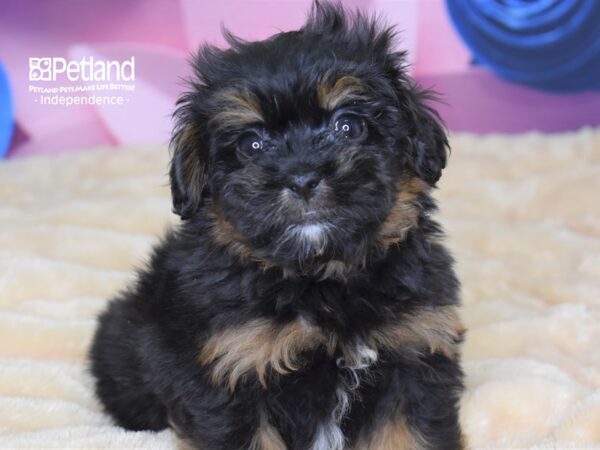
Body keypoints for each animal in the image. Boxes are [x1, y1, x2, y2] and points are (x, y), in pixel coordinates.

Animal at [89, 1, 466, 448]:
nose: (302, 178)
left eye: (348, 126)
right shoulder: (231, 368)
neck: (319, 277)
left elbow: (409, 432)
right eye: (252, 145)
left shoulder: (415, 350)